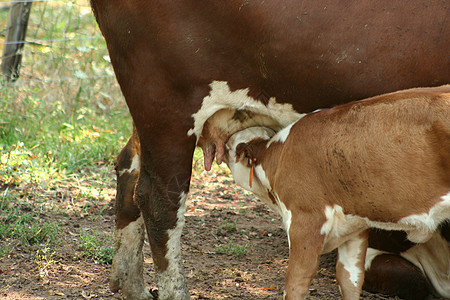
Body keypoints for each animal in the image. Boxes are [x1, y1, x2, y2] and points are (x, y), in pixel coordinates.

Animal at [223, 86, 448, 300]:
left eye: (229, 147)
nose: (221, 149)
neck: (281, 155)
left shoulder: (306, 221)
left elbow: (296, 284)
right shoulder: (356, 226)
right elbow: (350, 279)